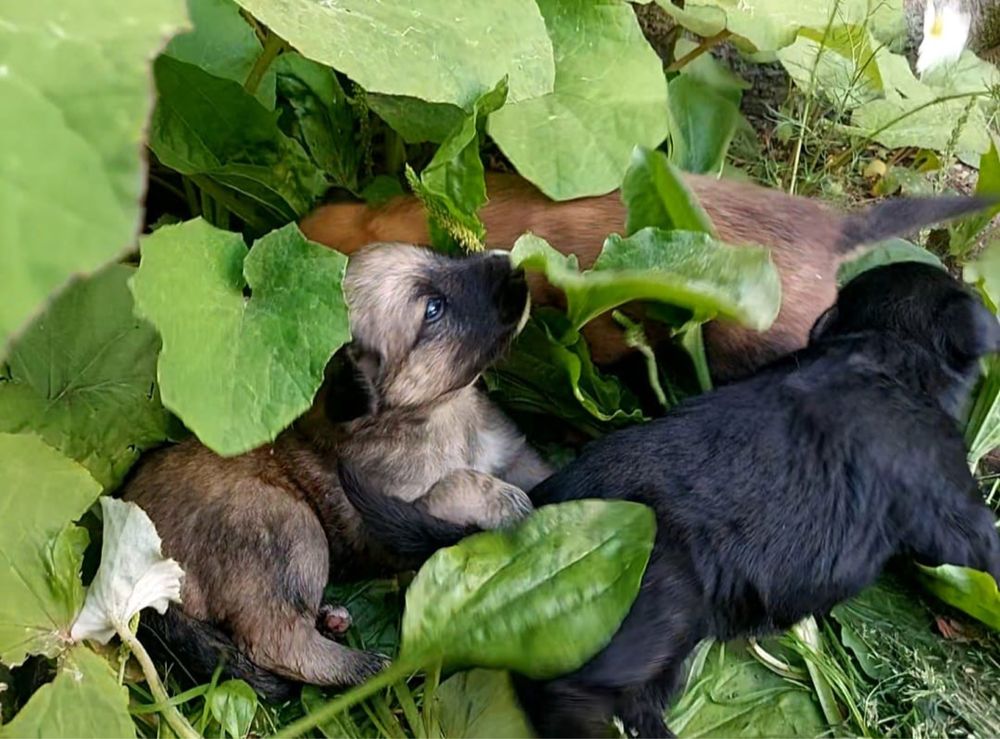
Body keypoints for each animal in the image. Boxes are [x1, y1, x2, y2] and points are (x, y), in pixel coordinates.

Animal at [123, 243, 556, 700]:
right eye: (433, 310)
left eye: (442, 258)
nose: (516, 266)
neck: (442, 418)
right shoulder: (396, 514)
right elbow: (459, 480)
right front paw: (508, 502)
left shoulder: (515, 456)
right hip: (287, 526)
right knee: (276, 639)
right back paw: (368, 669)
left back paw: (333, 619)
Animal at [340, 264, 1000, 739]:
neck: (885, 347)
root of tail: (533, 516)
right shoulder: (952, 507)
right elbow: (983, 539)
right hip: (657, 602)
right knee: (570, 695)